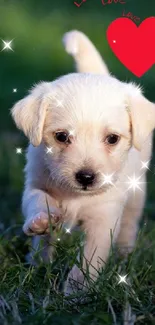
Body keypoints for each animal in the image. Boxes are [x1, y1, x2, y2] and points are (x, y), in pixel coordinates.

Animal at [11, 30, 155, 294]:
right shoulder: (35, 183)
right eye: (61, 136)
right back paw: (38, 261)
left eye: (112, 138)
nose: (86, 177)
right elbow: (38, 200)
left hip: (137, 193)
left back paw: (124, 255)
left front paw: (76, 292)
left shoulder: (103, 218)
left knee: (129, 224)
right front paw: (41, 220)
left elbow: (89, 259)